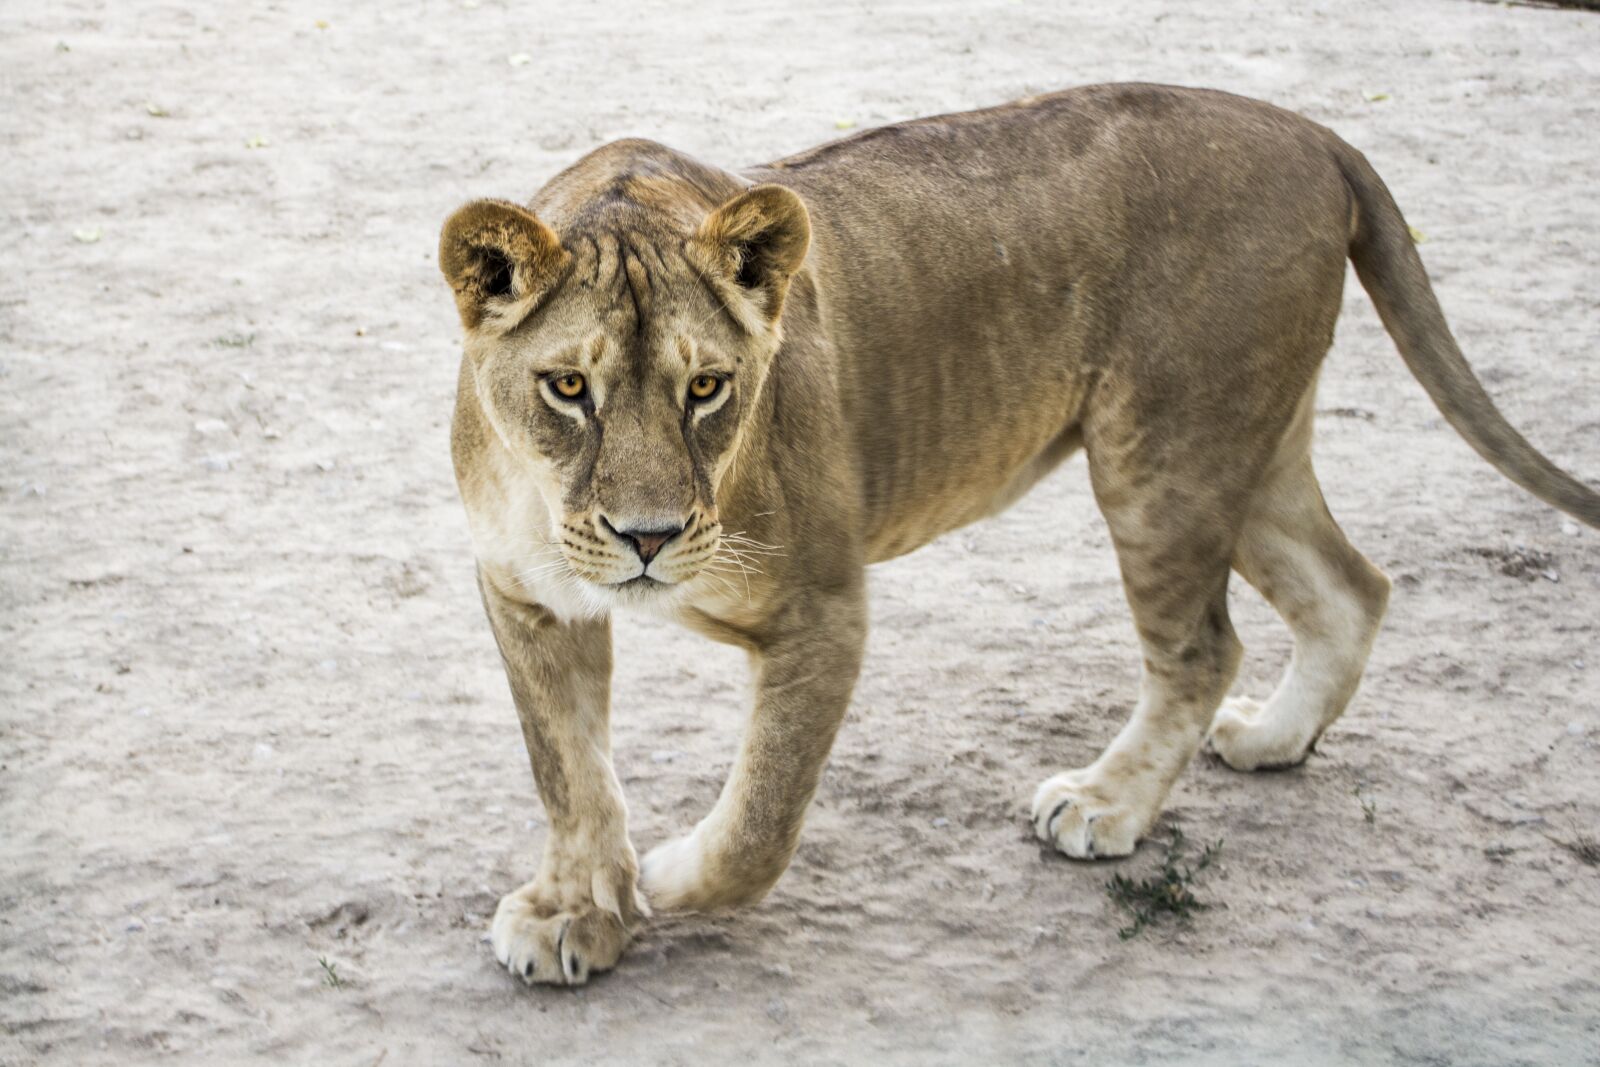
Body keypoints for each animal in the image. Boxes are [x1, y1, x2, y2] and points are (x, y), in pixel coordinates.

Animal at [437, 84, 1599, 985]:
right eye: (568, 386)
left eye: (708, 388)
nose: (648, 537)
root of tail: (1311, 133)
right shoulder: (526, 595)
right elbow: (569, 771)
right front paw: (575, 912)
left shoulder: (823, 608)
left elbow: (758, 819)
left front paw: (663, 875)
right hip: (1251, 449)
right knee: (1352, 585)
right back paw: (1275, 738)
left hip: (1164, 456)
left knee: (1205, 647)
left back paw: (1105, 803)